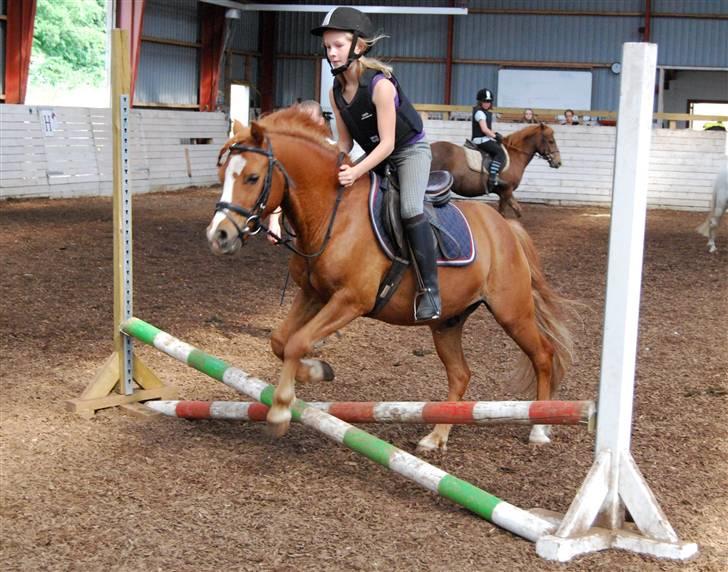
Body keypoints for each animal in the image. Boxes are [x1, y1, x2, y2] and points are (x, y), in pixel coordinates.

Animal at [432, 124, 564, 218]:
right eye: (551, 141)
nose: (558, 162)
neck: (515, 155)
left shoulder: (506, 193)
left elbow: (518, 211)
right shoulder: (506, 191)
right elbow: (503, 214)